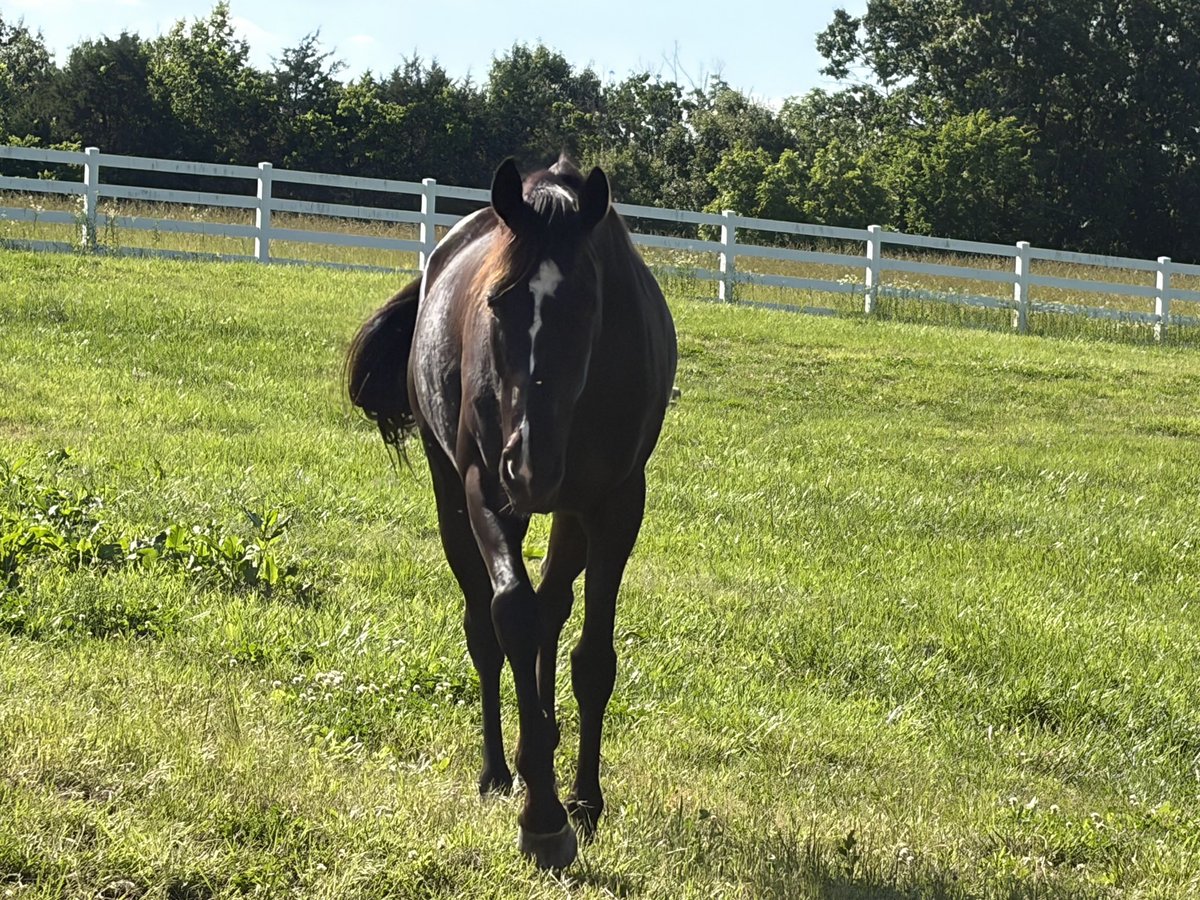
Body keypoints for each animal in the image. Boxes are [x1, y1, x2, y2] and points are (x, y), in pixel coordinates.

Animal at [347, 156, 677, 869]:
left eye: (588, 306)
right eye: (498, 303)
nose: (528, 463)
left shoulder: (615, 505)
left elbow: (592, 657)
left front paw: (583, 799)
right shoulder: (483, 490)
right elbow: (512, 619)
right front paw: (542, 814)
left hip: (567, 514)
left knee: (555, 606)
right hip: (455, 496)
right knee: (486, 628)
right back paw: (501, 770)